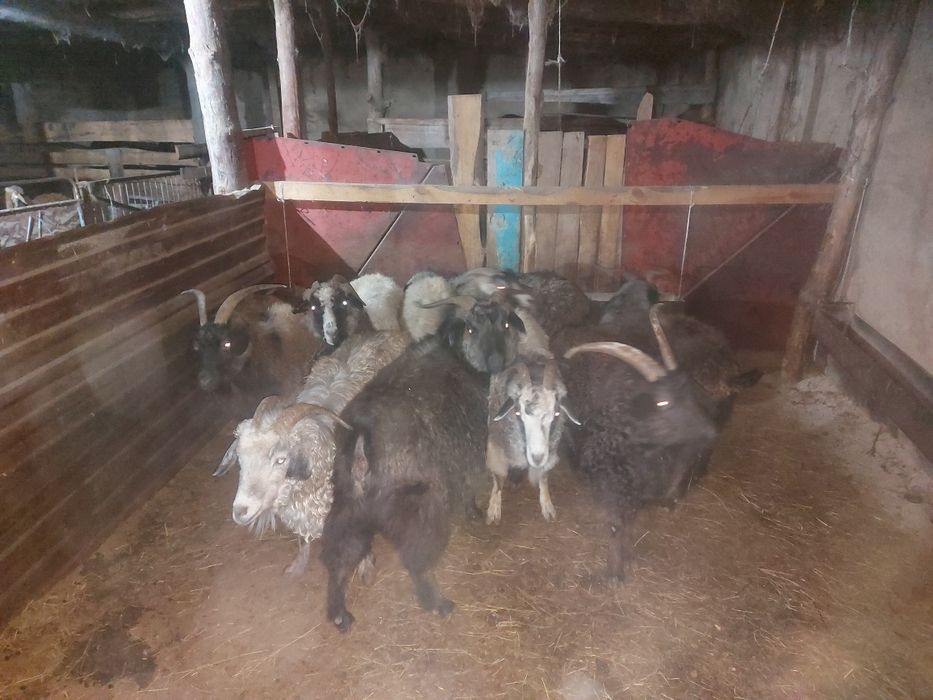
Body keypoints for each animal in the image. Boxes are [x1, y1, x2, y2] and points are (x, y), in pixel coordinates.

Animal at [218, 328, 410, 575]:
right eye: (241, 461)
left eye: (280, 460)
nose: (240, 511)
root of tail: (389, 333)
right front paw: (298, 565)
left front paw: (366, 564)